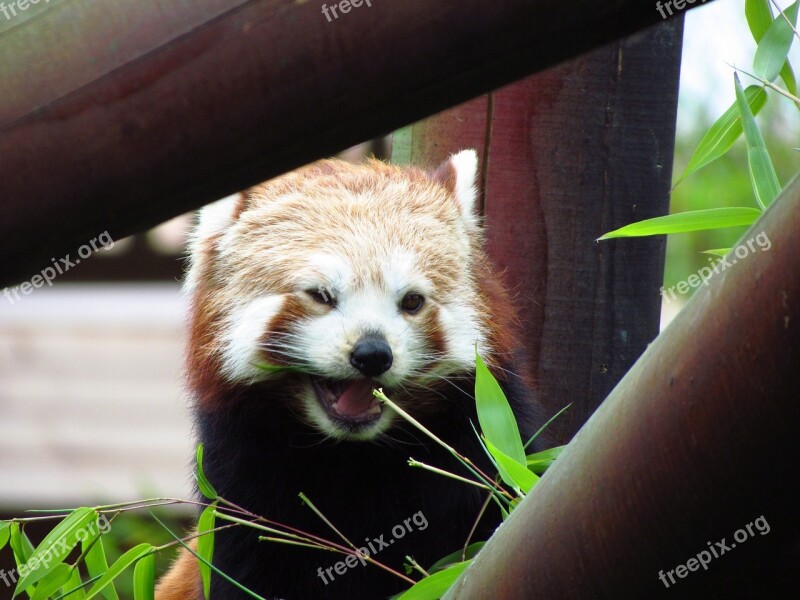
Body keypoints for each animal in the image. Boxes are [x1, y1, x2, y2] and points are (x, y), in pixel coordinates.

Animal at [155, 151, 548, 600]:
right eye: (322, 295)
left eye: (412, 301)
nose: (373, 354)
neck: (355, 456)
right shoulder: (240, 478)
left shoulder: (482, 440)